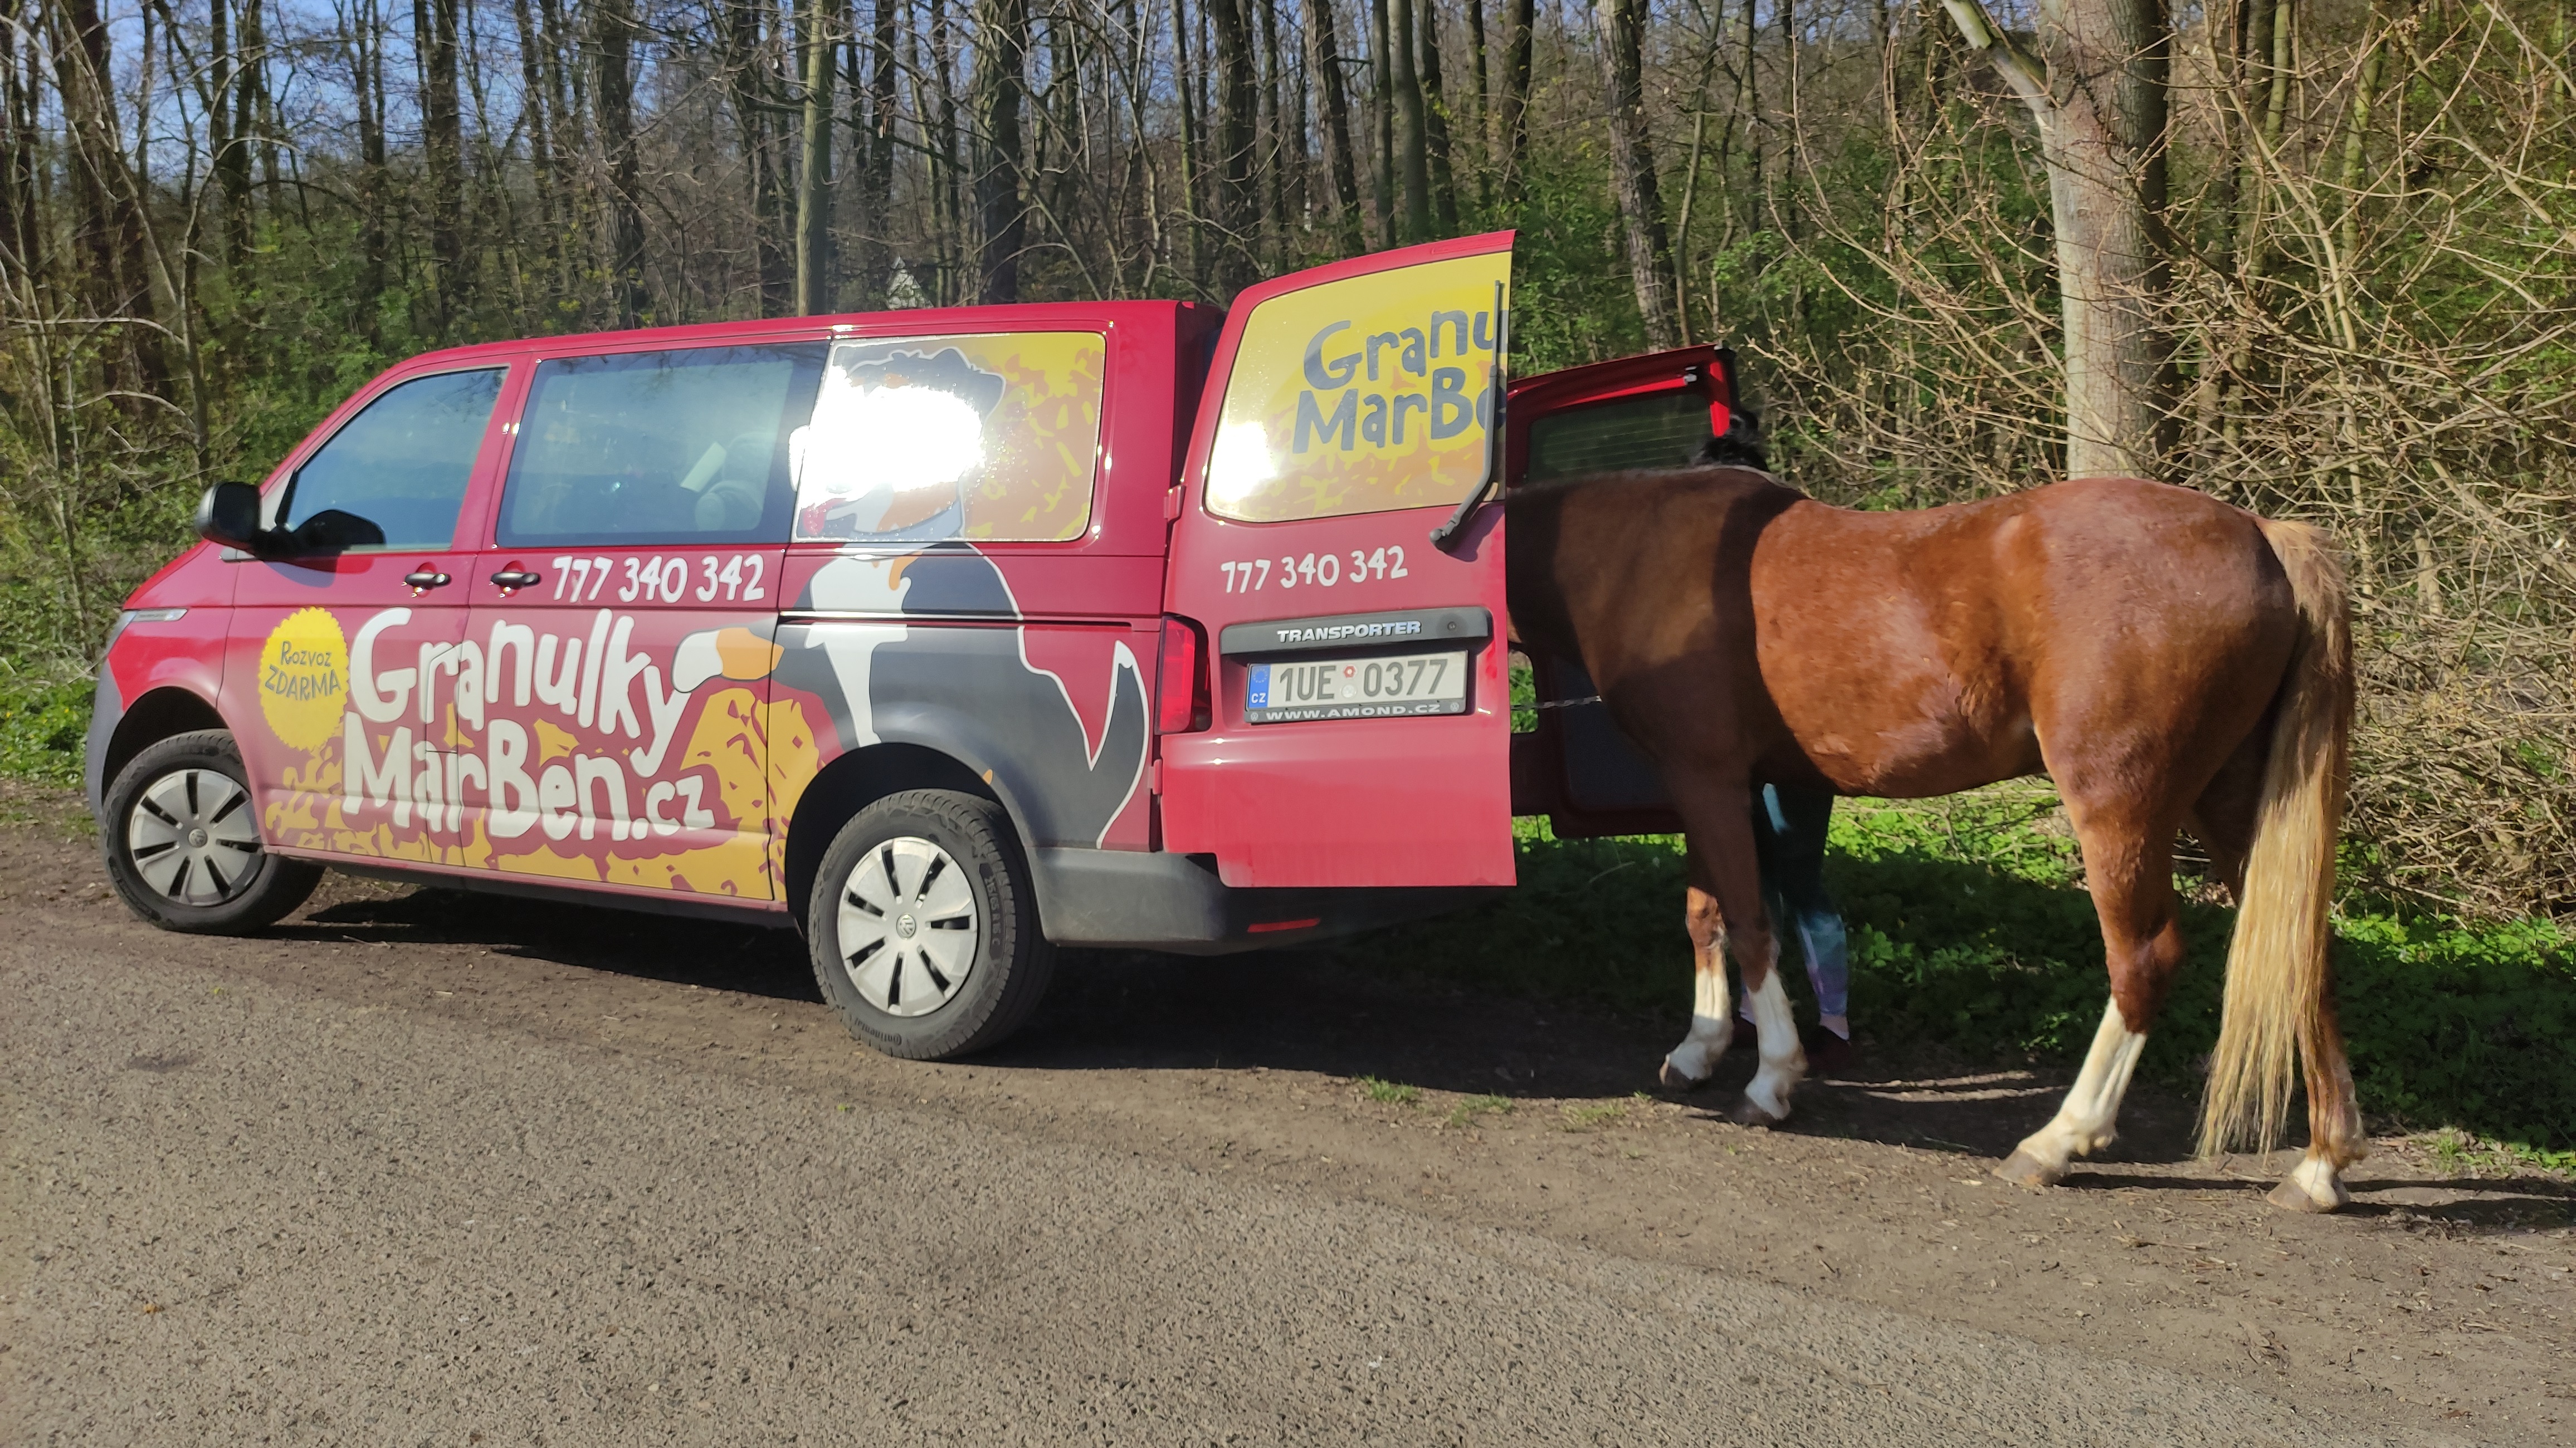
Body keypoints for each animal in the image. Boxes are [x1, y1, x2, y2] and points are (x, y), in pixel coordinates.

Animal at [1504, 463, 2370, 1206]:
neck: (1635, 553)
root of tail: (2262, 534)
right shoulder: (1716, 788)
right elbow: (1705, 915)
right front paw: (1699, 1049)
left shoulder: (1707, 778)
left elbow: (1750, 925)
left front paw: (1770, 1078)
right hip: (2233, 800)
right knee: (2299, 948)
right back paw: (2320, 1165)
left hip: (2121, 807)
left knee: (2144, 959)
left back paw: (2059, 1139)